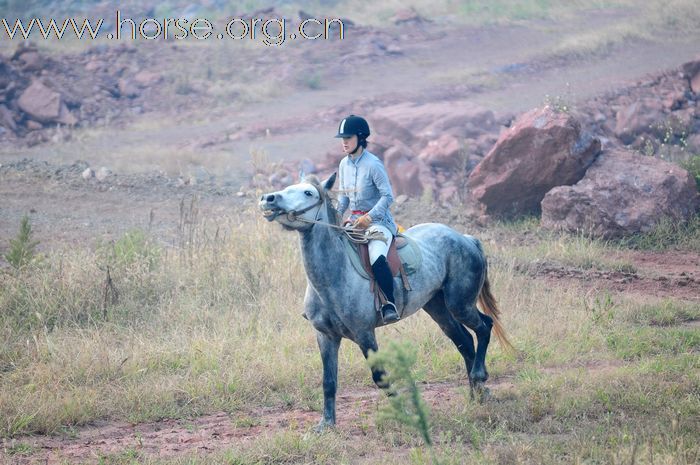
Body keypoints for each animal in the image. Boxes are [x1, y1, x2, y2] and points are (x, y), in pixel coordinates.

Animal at [260, 172, 512, 430]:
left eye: (308, 193)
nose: (268, 198)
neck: (334, 276)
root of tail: (465, 238)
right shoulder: (325, 336)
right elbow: (328, 381)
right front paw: (326, 424)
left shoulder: (364, 333)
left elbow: (380, 378)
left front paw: (405, 413)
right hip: (438, 308)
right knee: (465, 342)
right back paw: (477, 395)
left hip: (460, 304)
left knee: (484, 326)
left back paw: (479, 376)